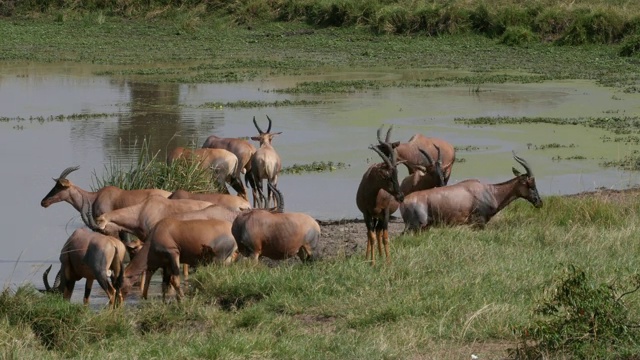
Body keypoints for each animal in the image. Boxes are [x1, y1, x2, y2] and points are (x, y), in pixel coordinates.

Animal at [356, 125, 404, 266]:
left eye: (396, 173)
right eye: (387, 176)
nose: (400, 196)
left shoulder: (385, 212)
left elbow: (385, 237)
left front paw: (388, 262)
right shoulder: (366, 213)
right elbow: (371, 237)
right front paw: (372, 263)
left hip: (380, 216)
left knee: (379, 232)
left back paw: (382, 255)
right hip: (373, 216)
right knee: (371, 233)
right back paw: (369, 257)